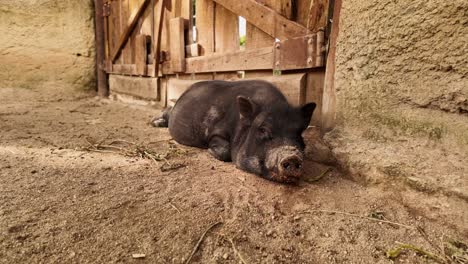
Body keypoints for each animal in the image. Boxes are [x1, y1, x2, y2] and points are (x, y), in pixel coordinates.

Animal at [152, 80, 316, 184]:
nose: (292, 156)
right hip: (172, 111)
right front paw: (209, 151)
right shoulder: (216, 131)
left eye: (299, 132)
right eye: (263, 129)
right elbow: (224, 150)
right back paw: (155, 123)